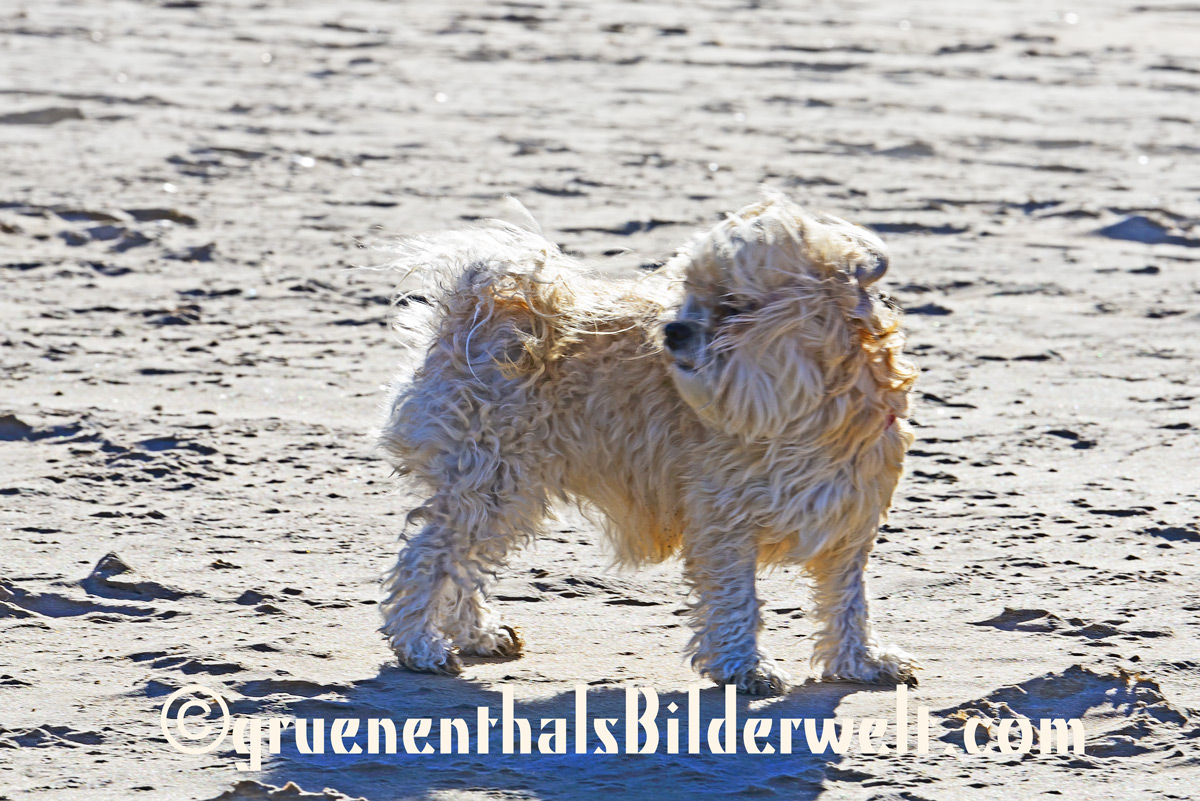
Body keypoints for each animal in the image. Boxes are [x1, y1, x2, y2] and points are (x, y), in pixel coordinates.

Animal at [374, 194, 916, 695]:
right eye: (689, 294)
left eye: (734, 304)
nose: (673, 330)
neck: (806, 412)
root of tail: (478, 314)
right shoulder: (724, 522)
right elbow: (737, 599)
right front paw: (745, 667)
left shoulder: (848, 518)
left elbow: (847, 601)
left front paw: (861, 661)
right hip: (492, 481)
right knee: (429, 556)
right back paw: (420, 645)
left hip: (504, 492)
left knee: (461, 562)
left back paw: (477, 634)